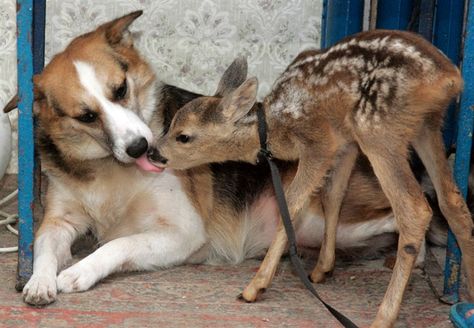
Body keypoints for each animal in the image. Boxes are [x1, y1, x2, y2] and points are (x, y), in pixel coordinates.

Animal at [4, 11, 448, 310]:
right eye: (86, 116)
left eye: (120, 89)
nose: (140, 148)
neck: (110, 172)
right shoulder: (59, 221)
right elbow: (43, 246)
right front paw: (40, 281)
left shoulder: (183, 232)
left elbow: (117, 243)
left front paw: (80, 270)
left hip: (325, 219)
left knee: (414, 214)